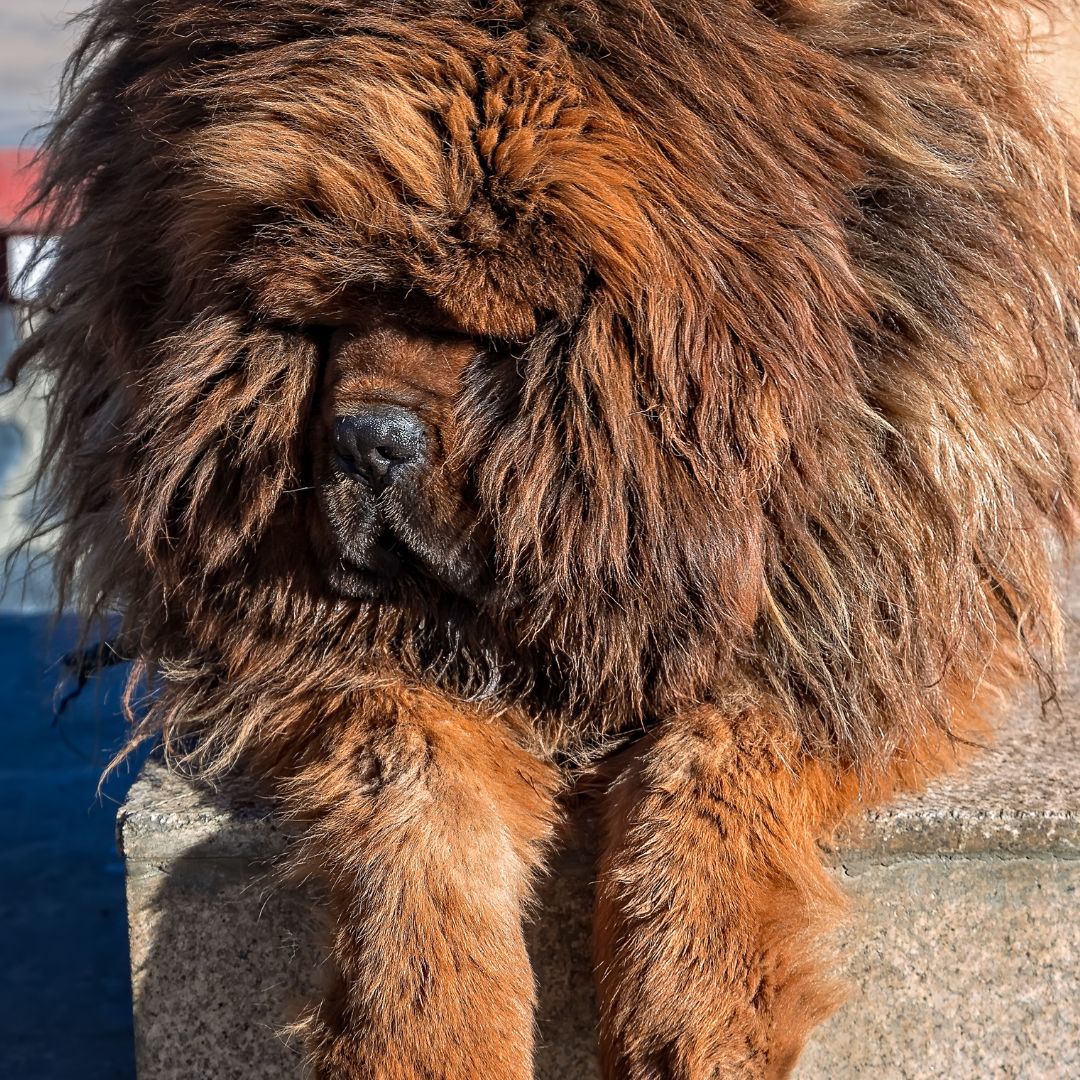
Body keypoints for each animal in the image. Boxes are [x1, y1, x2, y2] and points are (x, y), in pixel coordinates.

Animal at [8, 0, 1080, 1075]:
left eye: (494, 341)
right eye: (334, 316)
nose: (366, 441)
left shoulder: (867, 587)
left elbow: (712, 764)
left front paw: (696, 1024)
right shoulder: (299, 638)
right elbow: (413, 776)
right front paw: (428, 1035)